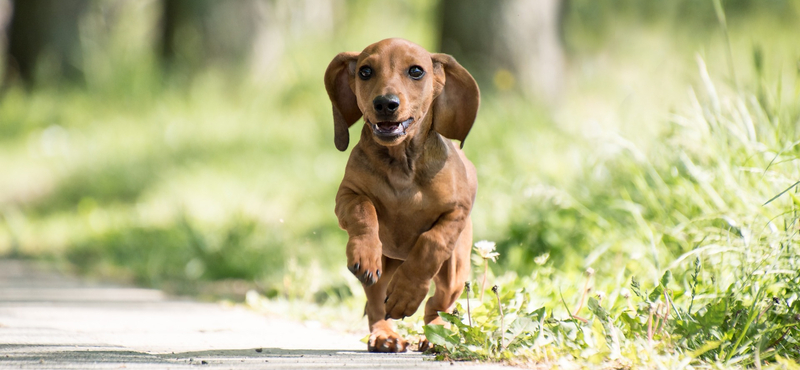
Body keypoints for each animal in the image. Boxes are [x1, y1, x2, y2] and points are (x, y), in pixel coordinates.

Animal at [324, 38, 478, 352]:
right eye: (365, 71)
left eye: (416, 71)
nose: (385, 103)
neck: (401, 164)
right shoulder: (347, 196)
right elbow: (363, 211)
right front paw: (365, 250)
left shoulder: (457, 211)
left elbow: (431, 243)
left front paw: (406, 294)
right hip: (385, 268)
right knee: (375, 305)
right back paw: (384, 335)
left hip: (455, 269)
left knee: (438, 303)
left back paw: (433, 333)